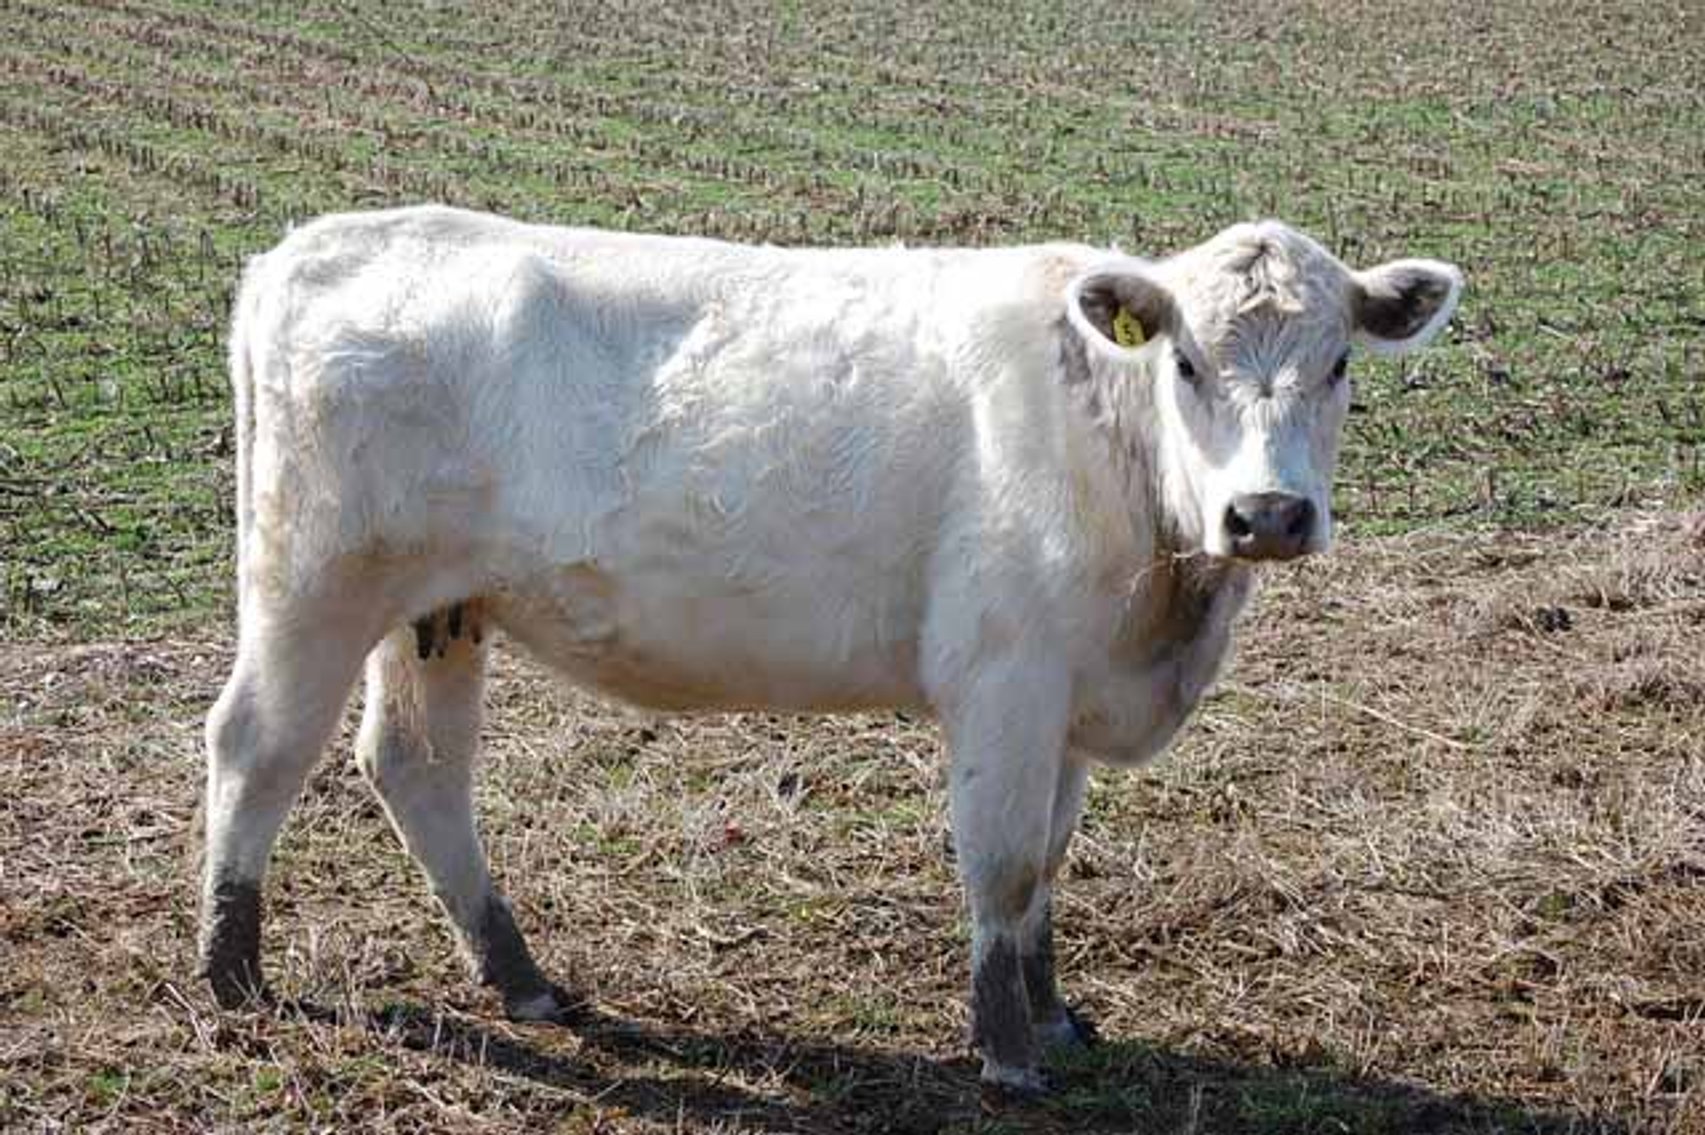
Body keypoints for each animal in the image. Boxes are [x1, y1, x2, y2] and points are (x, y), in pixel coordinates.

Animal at [199, 205, 1460, 1096]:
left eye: (1340, 363)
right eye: (1186, 363)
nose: (1267, 513)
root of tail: (311, 246)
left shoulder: (1068, 694)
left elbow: (1051, 860)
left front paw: (1056, 1013)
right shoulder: (1004, 678)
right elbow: (1004, 863)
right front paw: (1007, 1053)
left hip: (439, 611)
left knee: (418, 769)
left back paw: (521, 977)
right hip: (313, 584)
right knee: (256, 746)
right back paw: (232, 970)